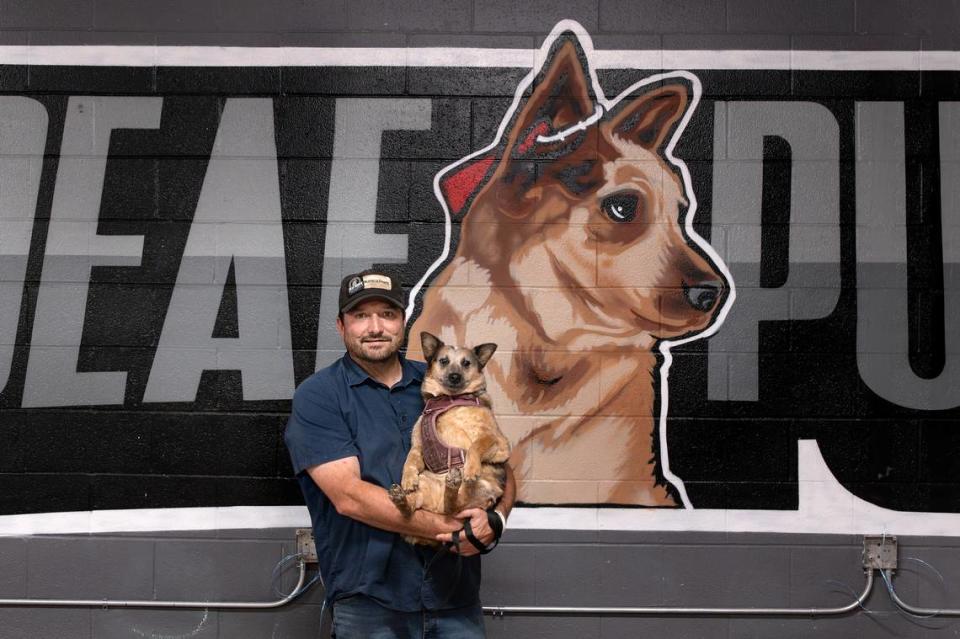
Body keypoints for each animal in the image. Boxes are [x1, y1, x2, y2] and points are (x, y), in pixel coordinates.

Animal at [388, 332, 512, 544]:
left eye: (466, 363)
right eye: (444, 361)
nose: (454, 376)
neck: (448, 401)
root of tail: (438, 509)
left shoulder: (497, 441)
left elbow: (475, 446)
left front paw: (471, 468)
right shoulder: (419, 446)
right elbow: (410, 459)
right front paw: (408, 479)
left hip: (482, 490)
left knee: (453, 506)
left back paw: (454, 482)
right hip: (425, 485)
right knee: (417, 510)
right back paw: (402, 497)